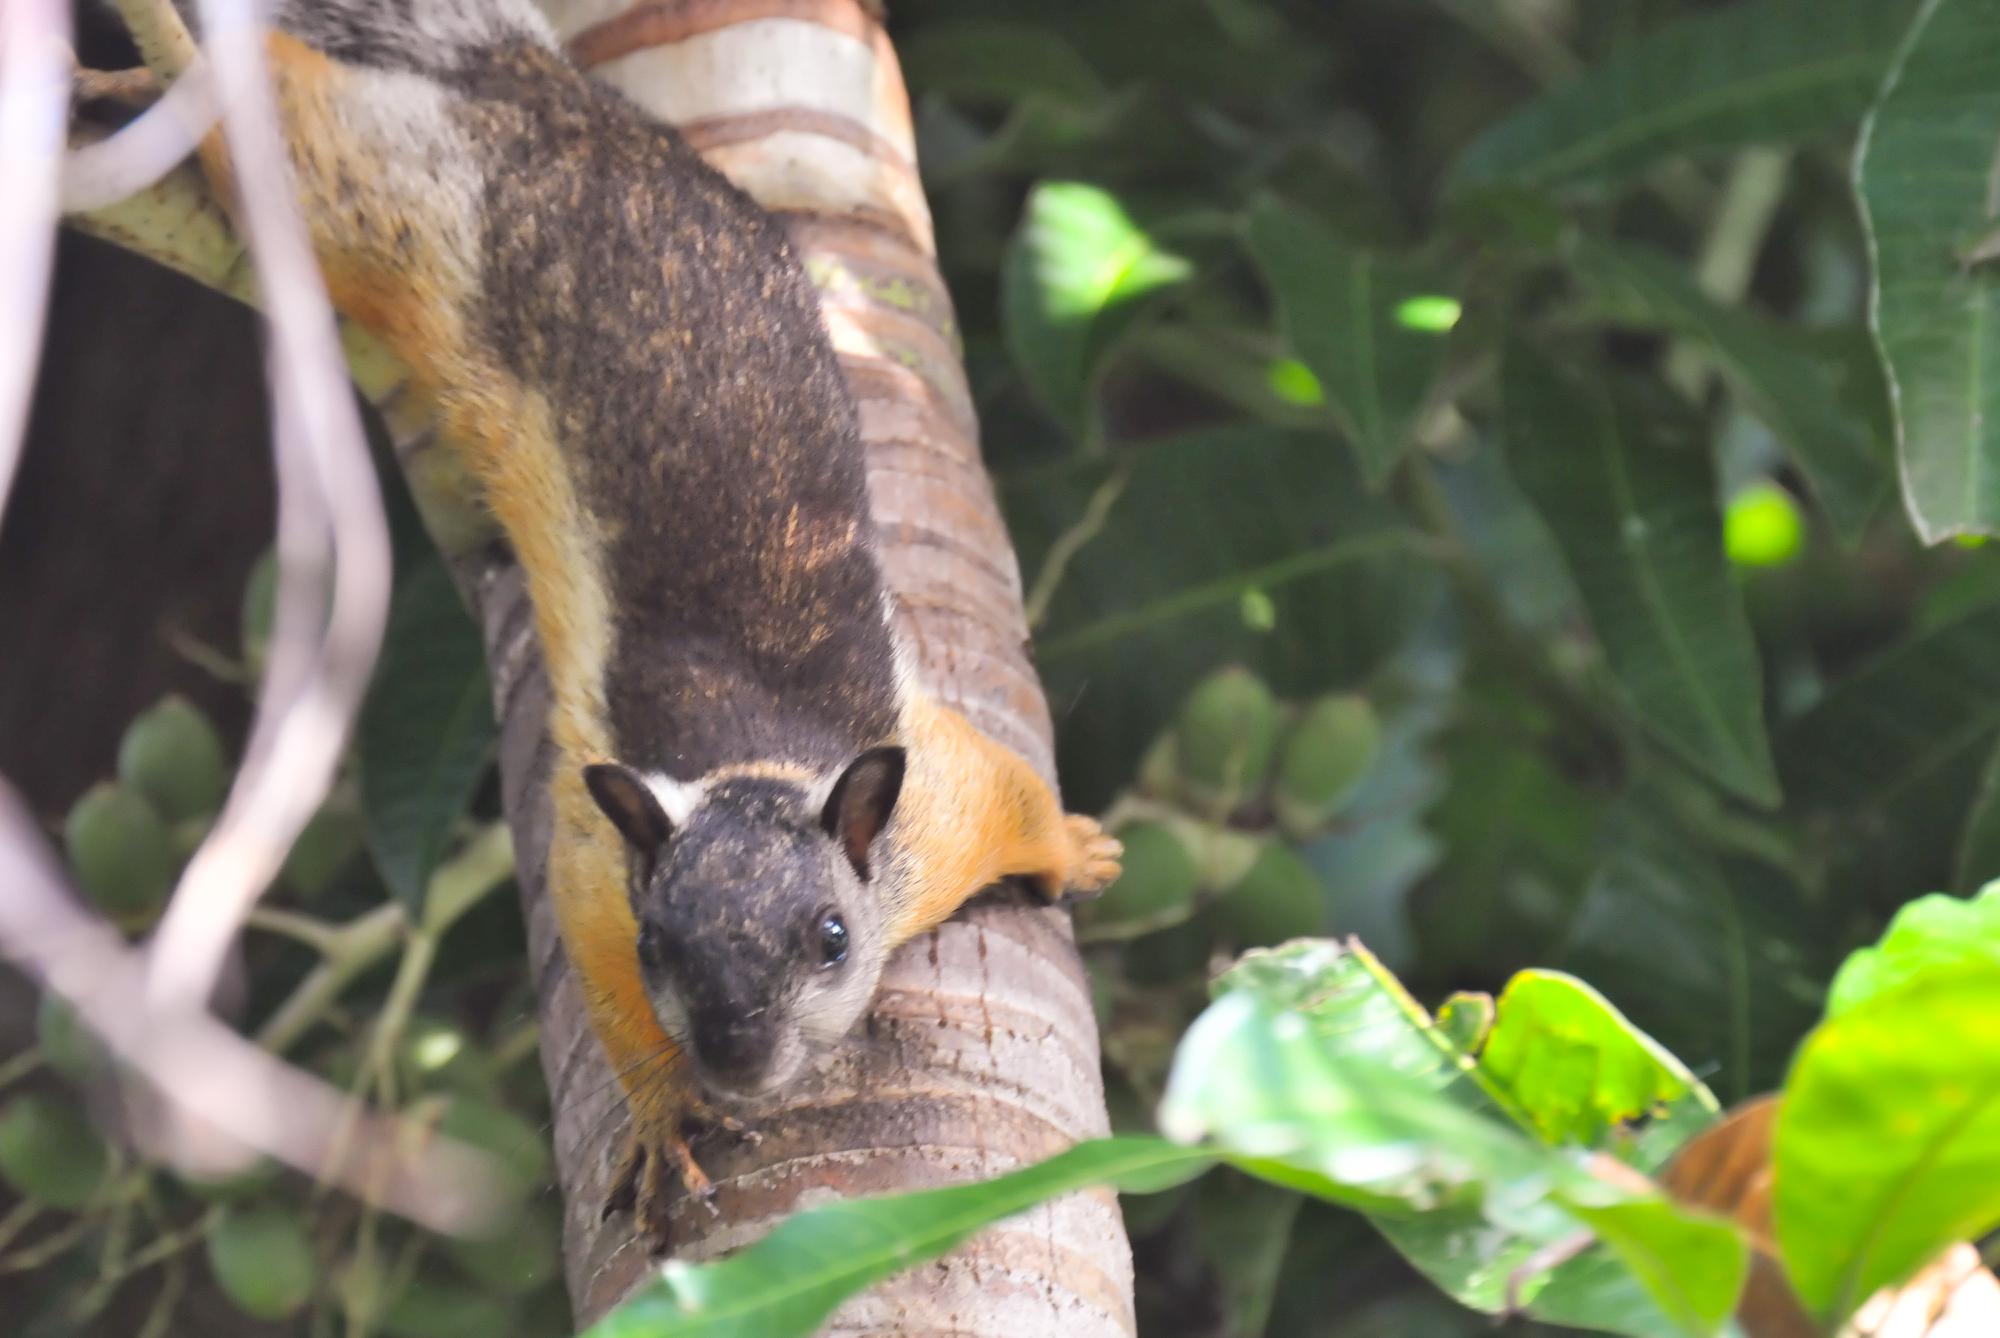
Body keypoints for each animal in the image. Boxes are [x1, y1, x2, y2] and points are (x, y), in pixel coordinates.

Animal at [191, 0, 1128, 1240]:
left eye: (831, 938)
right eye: (658, 946)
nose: (735, 1060)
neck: (749, 764)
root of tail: (547, 106)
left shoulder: (938, 803)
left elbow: (1014, 792)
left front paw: (1076, 846)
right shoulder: (594, 873)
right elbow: (607, 996)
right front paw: (660, 1117)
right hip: (381, 203)